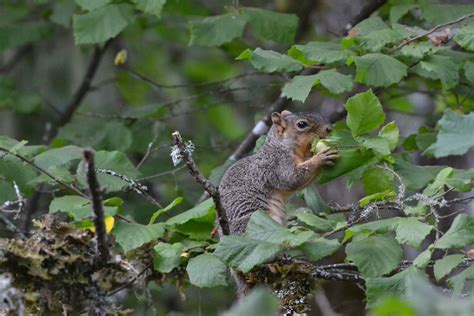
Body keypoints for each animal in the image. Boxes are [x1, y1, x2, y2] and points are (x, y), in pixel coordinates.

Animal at [218, 110, 336, 298]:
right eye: (302, 124)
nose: (329, 129)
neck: (281, 146)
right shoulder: (277, 165)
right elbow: (292, 178)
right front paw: (320, 158)